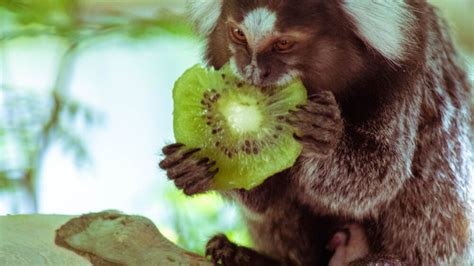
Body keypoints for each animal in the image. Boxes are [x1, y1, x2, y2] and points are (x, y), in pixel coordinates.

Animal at [158, 1, 470, 264]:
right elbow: (264, 198)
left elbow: (381, 177)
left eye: (283, 43)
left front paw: (327, 139)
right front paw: (198, 168)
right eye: (238, 35)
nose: (253, 70)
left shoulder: (404, 72)